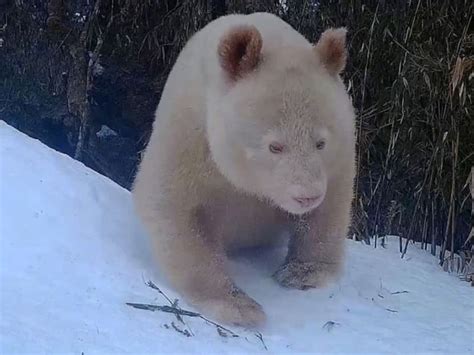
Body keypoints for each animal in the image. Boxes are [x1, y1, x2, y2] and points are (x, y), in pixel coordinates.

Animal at [132, 11, 356, 328]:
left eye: (321, 142)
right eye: (275, 146)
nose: (306, 197)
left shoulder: (340, 150)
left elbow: (330, 206)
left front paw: (303, 273)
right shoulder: (189, 131)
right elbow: (173, 206)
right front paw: (239, 307)